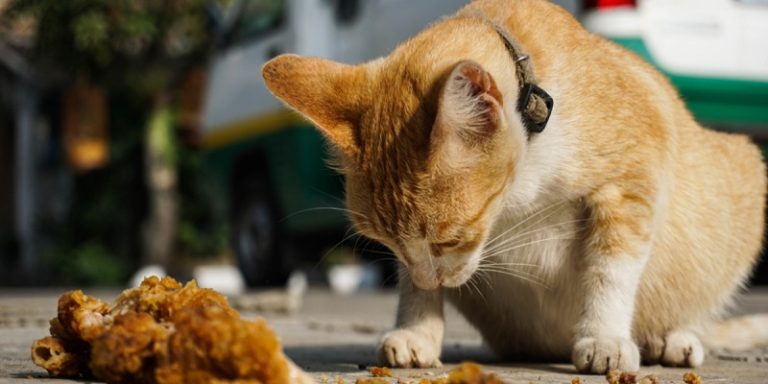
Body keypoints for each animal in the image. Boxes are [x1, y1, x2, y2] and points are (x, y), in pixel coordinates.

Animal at [260, 0, 764, 374]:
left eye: (450, 240)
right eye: (387, 243)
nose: (429, 276)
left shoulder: (631, 181)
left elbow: (611, 268)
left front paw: (604, 336)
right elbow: (410, 285)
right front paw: (417, 329)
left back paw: (674, 337)